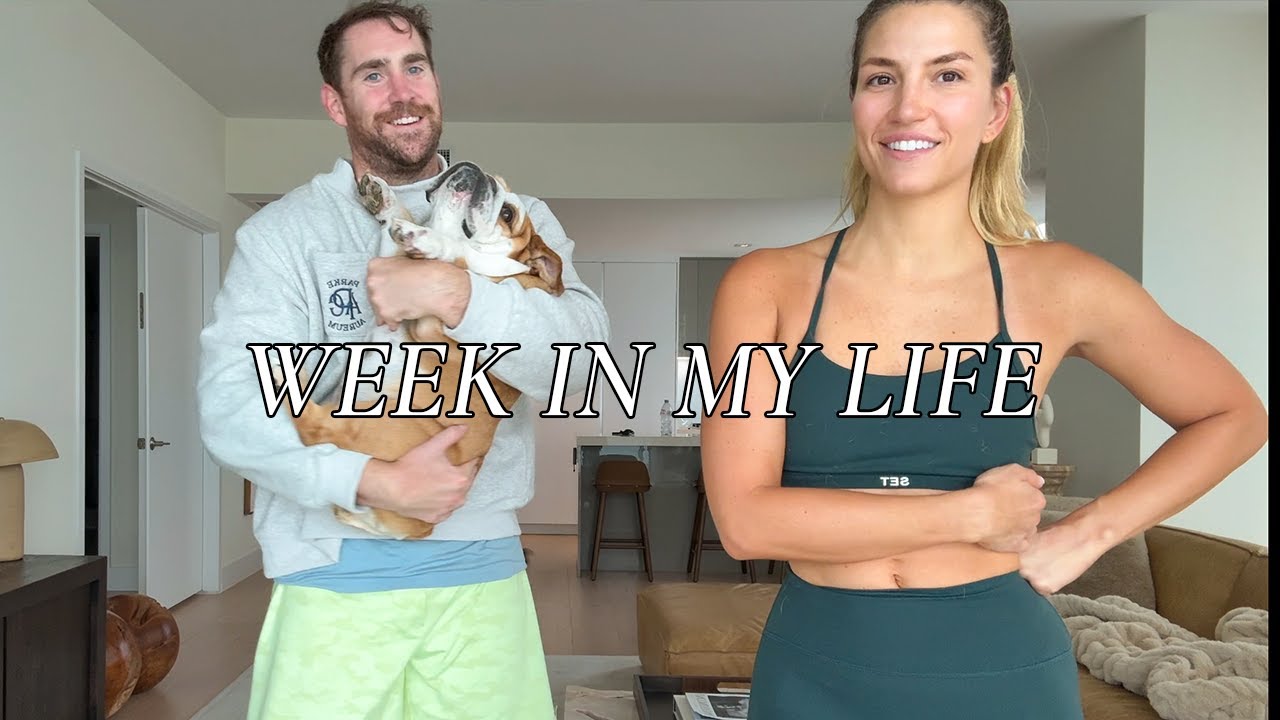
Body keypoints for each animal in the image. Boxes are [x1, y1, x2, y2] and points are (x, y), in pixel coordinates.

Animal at [287, 161, 565, 539]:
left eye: (508, 214)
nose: (479, 172)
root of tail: (417, 528)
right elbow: (399, 226)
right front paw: (385, 199)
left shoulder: (434, 324)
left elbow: (458, 254)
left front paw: (428, 240)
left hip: (377, 424)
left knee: (314, 426)